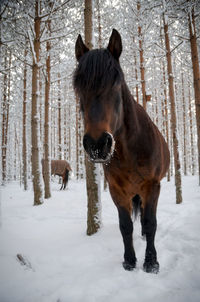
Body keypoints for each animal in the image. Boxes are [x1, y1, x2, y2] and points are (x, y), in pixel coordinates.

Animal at [74, 28, 170, 274]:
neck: (130, 151)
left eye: (116, 85)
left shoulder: (152, 186)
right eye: (78, 89)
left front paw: (151, 262)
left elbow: (150, 222)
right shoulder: (117, 190)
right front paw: (129, 260)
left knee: (145, 216)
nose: (97, 144)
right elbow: (125, 226)